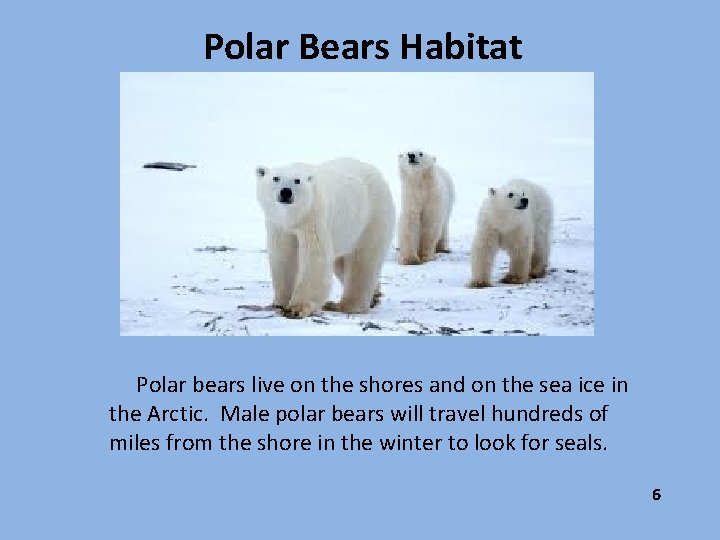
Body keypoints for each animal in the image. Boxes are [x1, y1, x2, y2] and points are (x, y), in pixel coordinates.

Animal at [256, 158, 396, 318]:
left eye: (297, 180)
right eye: (275, 178)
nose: (285, 192)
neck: (294, 218)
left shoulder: (314, 216)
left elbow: (315, 257)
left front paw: (297, 308)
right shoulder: (278, 225)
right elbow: (283, 256)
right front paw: (279, 303)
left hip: (371, 219)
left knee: (363, 261)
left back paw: (344, 305)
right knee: (341, 264)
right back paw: (375, 296)